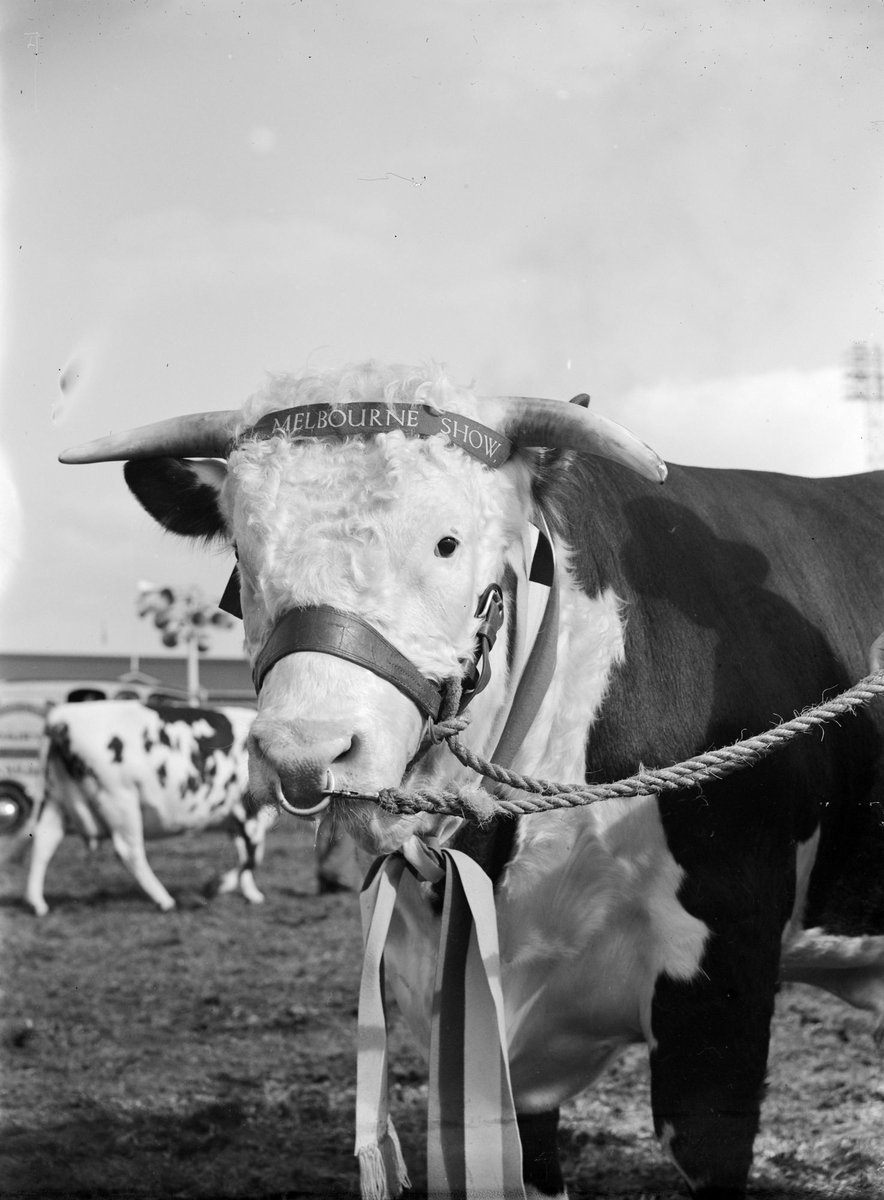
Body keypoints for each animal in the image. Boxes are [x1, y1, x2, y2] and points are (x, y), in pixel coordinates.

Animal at [25, 700, 269, 915]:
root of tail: (61, 717)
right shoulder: (250, 814)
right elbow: (252, 857)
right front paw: (216, 886)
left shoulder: (236, 821)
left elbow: (246, 854)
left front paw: (251, 894)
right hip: (119, 800)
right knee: (129, 851)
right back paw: (164, 900)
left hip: (56, 799)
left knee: (44, 842)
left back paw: (37, 904)